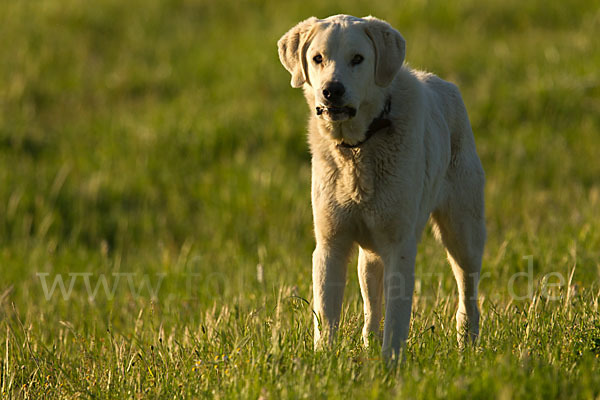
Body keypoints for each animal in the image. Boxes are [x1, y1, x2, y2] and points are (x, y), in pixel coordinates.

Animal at [278, 15, 486, 360]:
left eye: (357, 59)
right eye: (317, 58)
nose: (331, 91)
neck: (357, 149)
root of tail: (446, 85)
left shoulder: (399, 245)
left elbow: (397, 318)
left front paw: (391, 364)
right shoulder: (331, 243)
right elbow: (326, 316)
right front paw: (324, 361)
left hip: (463, 231)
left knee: (467, 291)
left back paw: (467, 345)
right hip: (371, 253)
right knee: (372, 305)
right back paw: (369, 344)